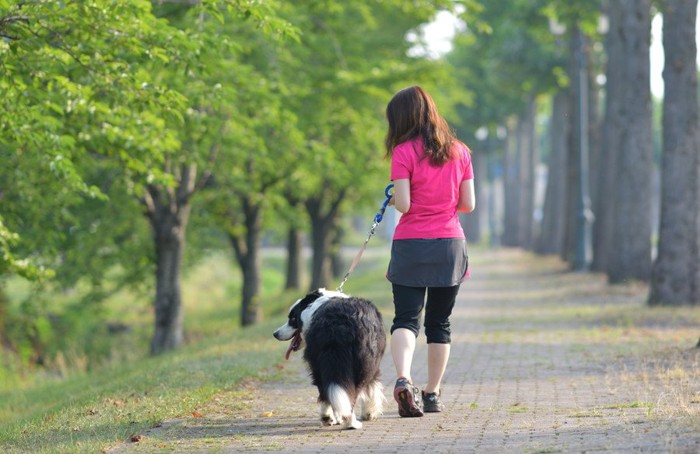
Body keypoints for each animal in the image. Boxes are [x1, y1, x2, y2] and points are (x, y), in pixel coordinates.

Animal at [272, 290, 386, 428]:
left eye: (292, 319)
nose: (275, 334)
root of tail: (336, 324)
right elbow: (373, 387)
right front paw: (369, 413)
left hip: (321, 361)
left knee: (326, 389)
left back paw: (331, 417)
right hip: (363, 363)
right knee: (351, 391)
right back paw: (349, 422)